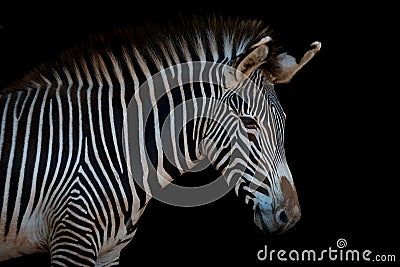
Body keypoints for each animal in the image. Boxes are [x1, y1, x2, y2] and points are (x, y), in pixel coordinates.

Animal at [0, 16, 318, 266]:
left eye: (284, 123)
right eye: (249, 122)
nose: (291, 216)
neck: (116, 148)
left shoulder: (108, 253)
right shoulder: (71, 240)